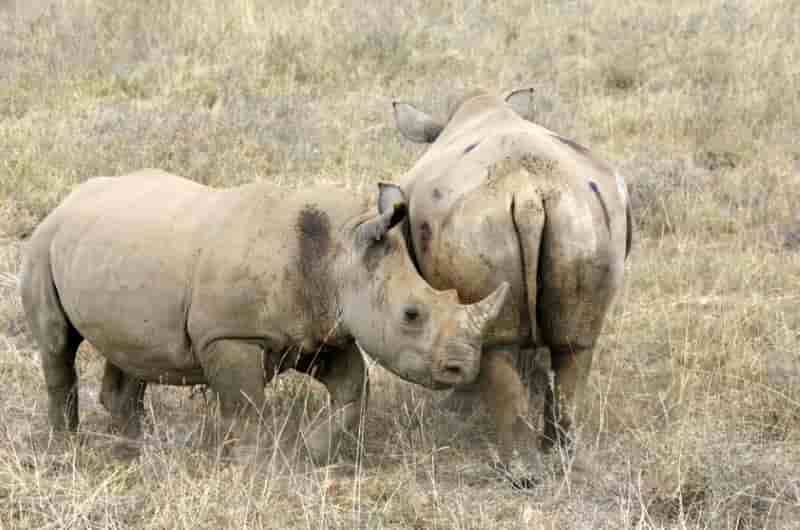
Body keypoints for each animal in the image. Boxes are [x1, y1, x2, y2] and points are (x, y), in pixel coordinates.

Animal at [20, 169, 510, 464]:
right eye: (411, 314)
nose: (463, 368)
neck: (340, 248)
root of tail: (68, 200)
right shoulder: (230, 335)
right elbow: (246, 405)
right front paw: (253, 466)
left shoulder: (318, 330)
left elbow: (352, 389)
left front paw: (313, 454)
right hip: (43, 244)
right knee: (58, 345)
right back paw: (68, 448)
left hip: (112, 250)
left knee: (130, 352)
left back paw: (133, 450)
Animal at [392, 88, 632, 470]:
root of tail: (529, 192)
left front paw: (459, 404)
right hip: (585, 215)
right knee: (574, 343)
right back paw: (559, 458)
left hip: (476, 225)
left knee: (495, 344)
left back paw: (518, 469)